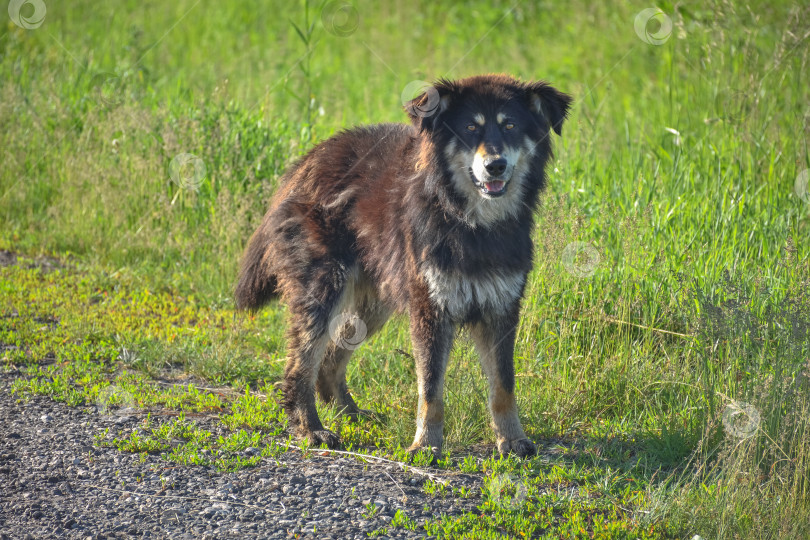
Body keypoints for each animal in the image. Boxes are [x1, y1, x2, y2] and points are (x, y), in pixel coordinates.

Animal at [237, 74, 572, 458]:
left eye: (511, 126)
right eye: (470, 128)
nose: (496, 165)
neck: (470, 221)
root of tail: (304, 163)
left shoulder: (501, 308)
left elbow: (504, 384)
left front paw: (513, 439)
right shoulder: (430, 309)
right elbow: (431, 387)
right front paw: (426, 445)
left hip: (372, 304)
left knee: (331, 361)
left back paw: (352, 414)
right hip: (324, 289)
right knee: (300, 367)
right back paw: (312, 429)